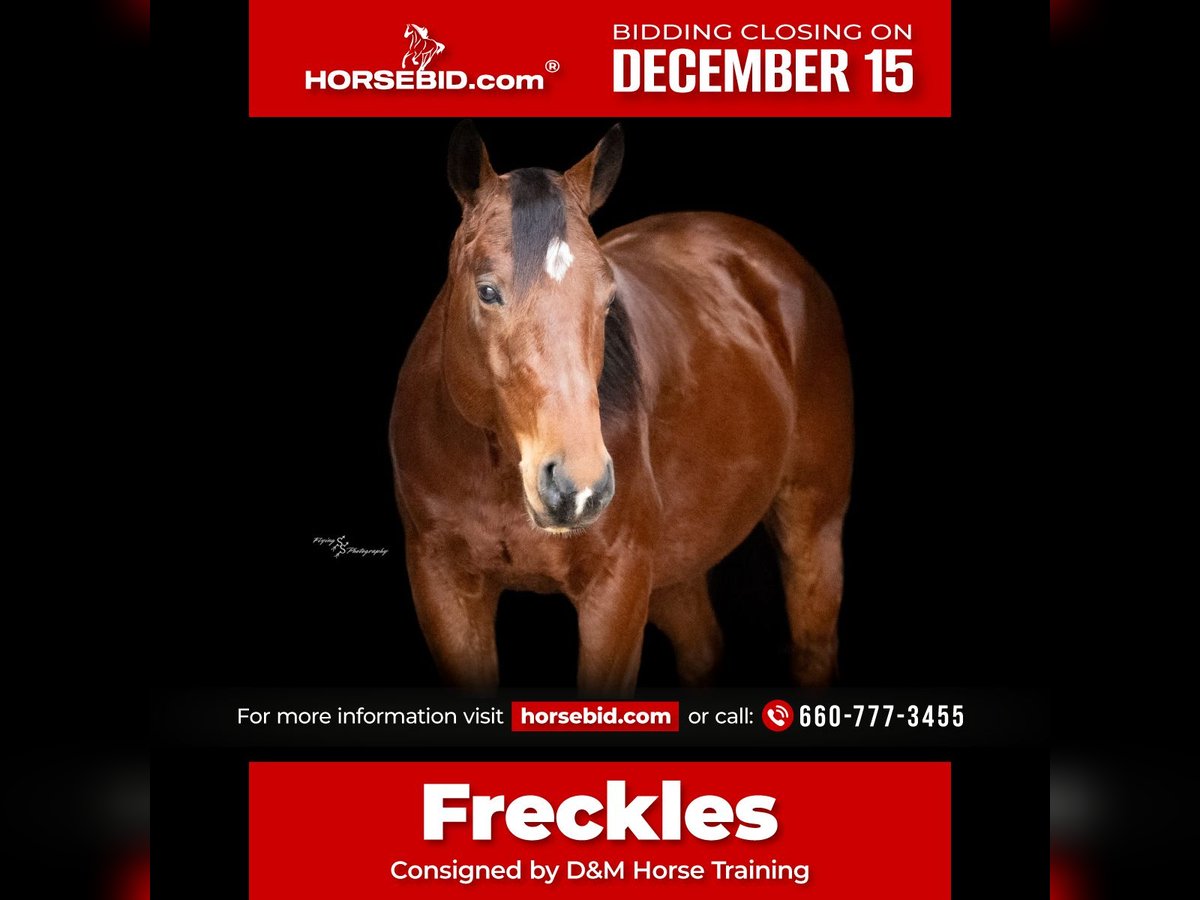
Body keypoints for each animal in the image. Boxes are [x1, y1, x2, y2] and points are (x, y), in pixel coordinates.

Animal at [390, 122, 853, 694]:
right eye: (488, 291)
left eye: (608, 299)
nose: (578, 487)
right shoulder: (443, 585)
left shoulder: (616, 589)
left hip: (813, 523)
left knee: (813, 644)